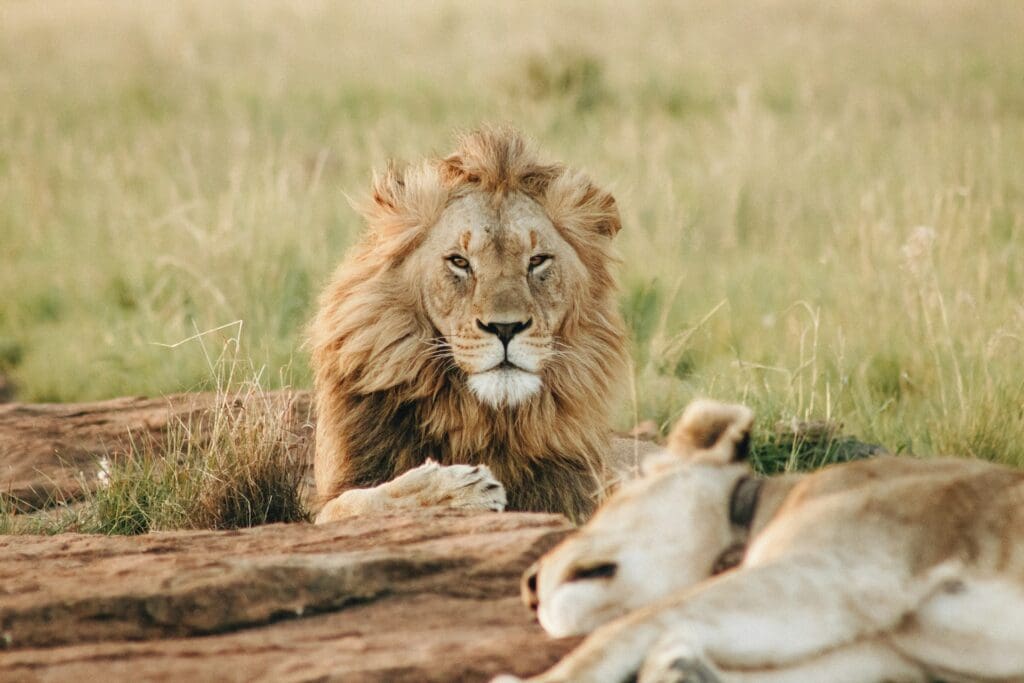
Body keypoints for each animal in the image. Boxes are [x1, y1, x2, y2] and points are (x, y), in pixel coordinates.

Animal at [308, 126, 641, 524]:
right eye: (459, 262)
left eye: (537, 261)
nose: (505, 328)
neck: (481, 419)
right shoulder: (332, 500)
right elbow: (359, 502)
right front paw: (458, 490)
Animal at [498, 400, 1024, 682]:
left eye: (606, 504)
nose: (527, 584)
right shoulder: (886, 658)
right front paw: (682, 668)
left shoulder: (842, 569)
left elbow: (628, 626)